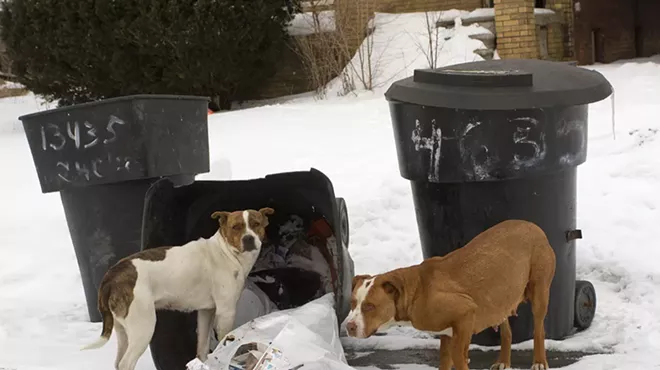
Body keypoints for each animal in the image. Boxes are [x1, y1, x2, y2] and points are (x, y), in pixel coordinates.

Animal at [81, 207, 274, 368]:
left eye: (256, 224)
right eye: (236, 227)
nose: (248, 239)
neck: (226, 252)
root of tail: (113, 273)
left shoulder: (206, 312)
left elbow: (202, 347)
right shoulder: (226, 312)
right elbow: (224, 340)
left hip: (123, 329)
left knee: (118, 361)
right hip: (143, 327)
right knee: (125, 363)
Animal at [346, 220, 556, 370]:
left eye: (370, 306)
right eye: (352, 303)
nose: (349, 326)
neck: (416, 292)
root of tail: (534, 226)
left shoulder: (465, 314)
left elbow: (458, 356)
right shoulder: (447, 332)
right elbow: (446, 360)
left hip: (539, 293)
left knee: (539, 329)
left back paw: (539, 361)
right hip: (500, 297)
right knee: (507, 330)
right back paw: (504, 361)